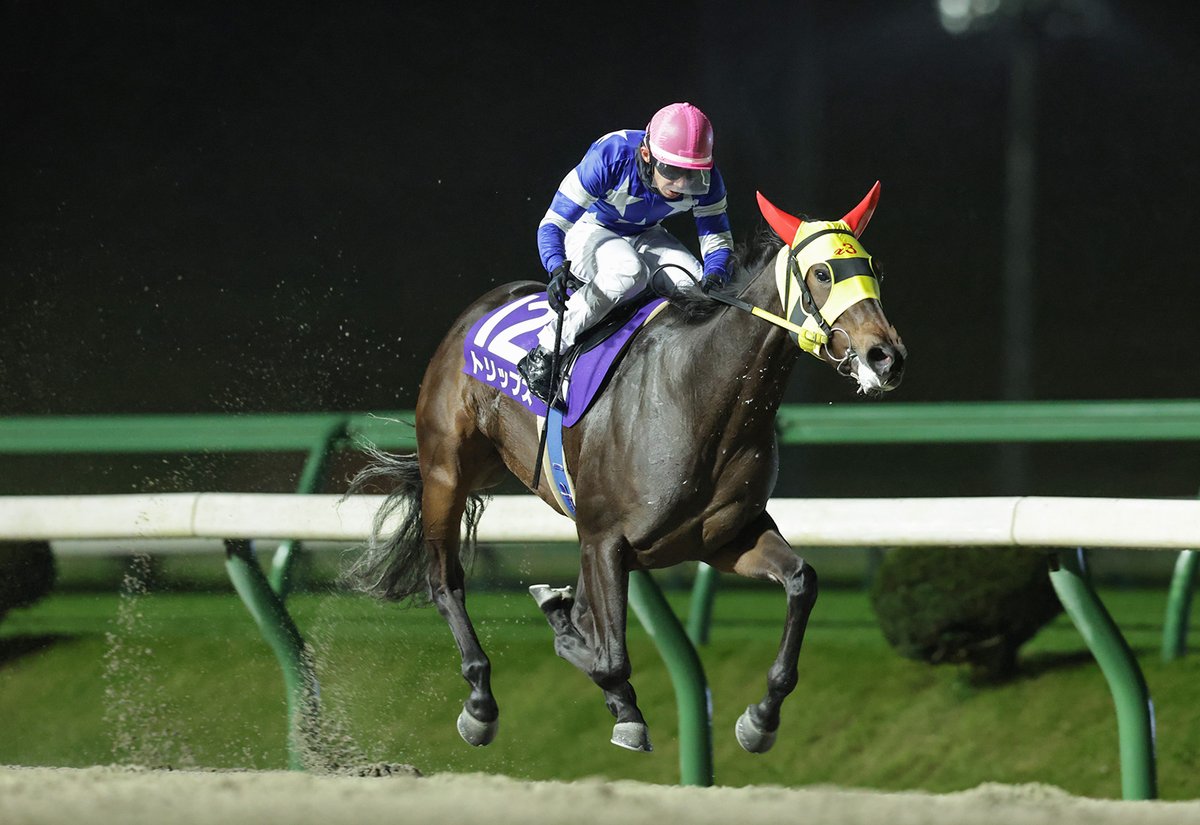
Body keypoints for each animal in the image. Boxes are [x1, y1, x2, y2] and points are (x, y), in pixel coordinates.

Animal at [348, 181, 906, 755]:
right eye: (822, 273)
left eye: (872, 268)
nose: (885, 356)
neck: (698, 394)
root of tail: (476, 309)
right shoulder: (603, 539)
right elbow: (608, 655)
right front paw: (625, 710)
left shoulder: (724, 538)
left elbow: (801, 581)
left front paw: (761, 718)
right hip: (448, 473)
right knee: (445, 580)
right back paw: (480, 701)